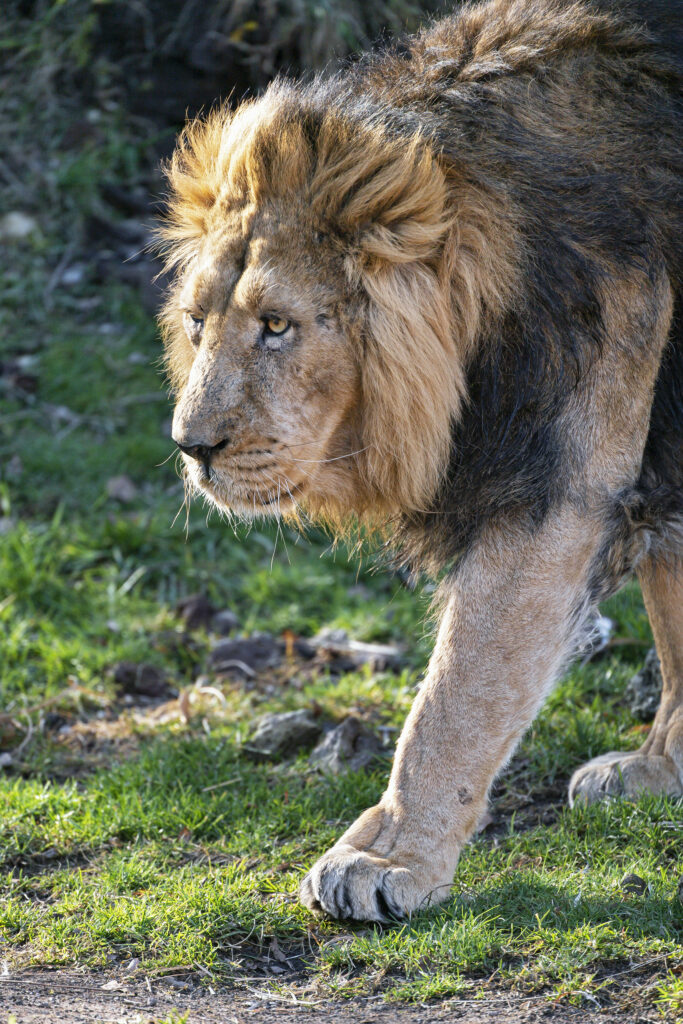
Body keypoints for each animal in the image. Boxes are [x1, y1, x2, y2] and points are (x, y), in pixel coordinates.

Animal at [158, 0, 683, 922]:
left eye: (276, 325)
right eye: (196, 321)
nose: (194, 447)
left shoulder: (556, 487)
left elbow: (457, 695)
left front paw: (385, 858)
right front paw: (663, 769)